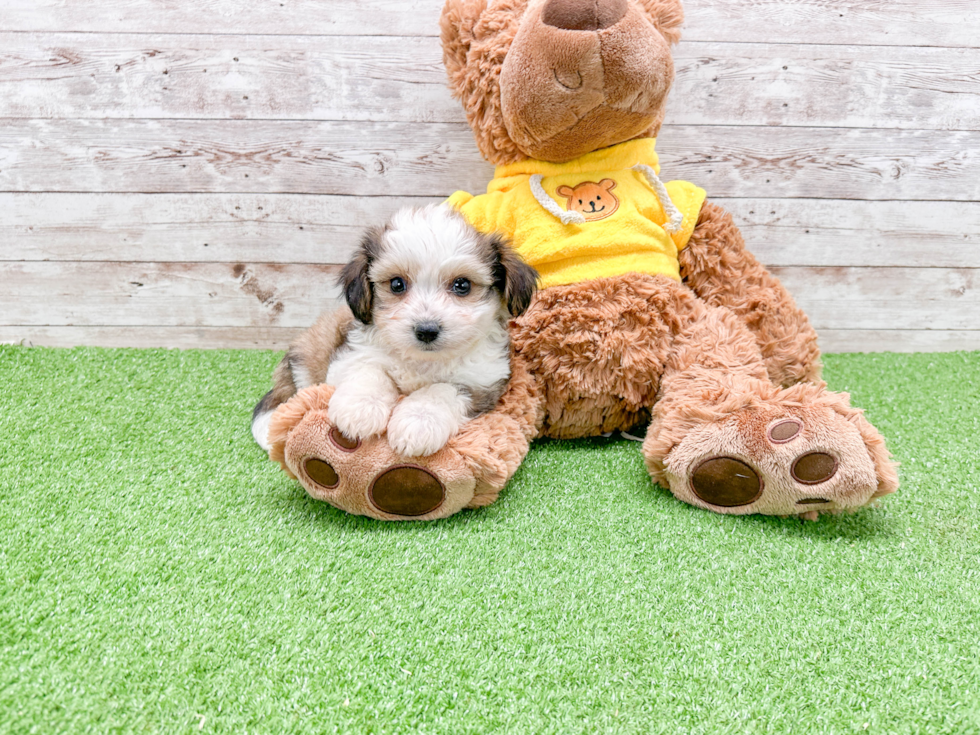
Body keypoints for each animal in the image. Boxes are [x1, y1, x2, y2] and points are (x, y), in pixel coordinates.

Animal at [249, 207, 540, 458]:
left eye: (462, 285)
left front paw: (418, 421)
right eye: (397, 284)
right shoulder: (351, 355)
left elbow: (442, 390)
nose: (426, 330)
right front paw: (360, 408)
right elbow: (370, 370)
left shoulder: (484, 381)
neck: (422, 361)